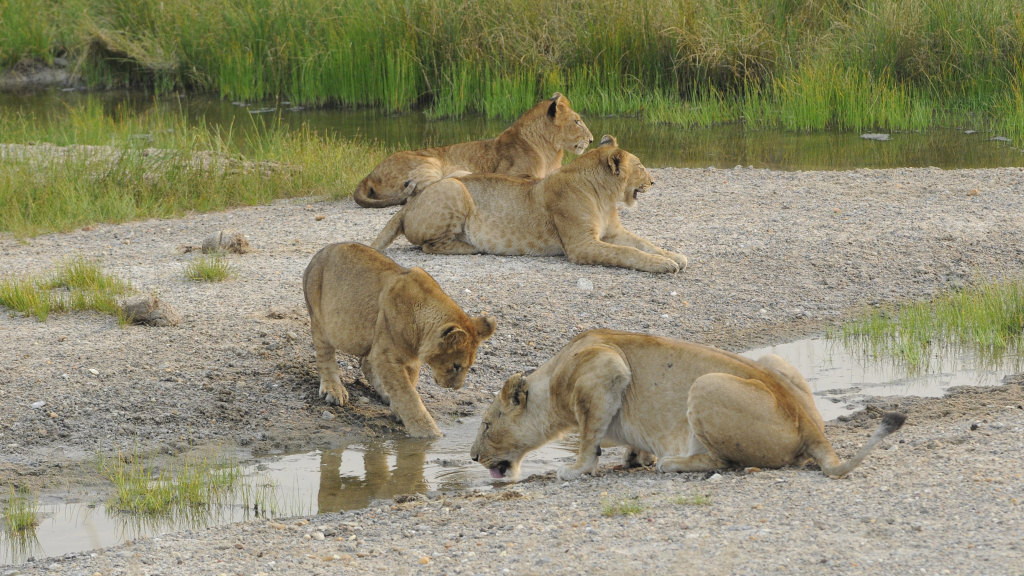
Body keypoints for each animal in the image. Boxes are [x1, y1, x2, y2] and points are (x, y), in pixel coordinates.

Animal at [302, 242, 496, 438]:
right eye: (456, 366)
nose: (456, 387)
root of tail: (317, 255)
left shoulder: (410, 359)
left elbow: (409, 386)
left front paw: (398, 410)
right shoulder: (386, 356)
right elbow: (408, 395)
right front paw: (429, 434)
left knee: (366, 363)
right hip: (320, 320)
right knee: (326, 355)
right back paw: (334, 390)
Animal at [353, 92, 594, 207]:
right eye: (577, 121)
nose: (591, 140)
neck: (551, 151)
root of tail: (370, 174)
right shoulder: (509, 172)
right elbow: (534, 178)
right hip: (430, 161)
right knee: (419, 191)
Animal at [371, 135, 688, 274]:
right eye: (641, 166)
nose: (654, 181)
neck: (605, 197)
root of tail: (408, 205)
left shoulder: (612, 232)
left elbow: (643, 242)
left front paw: (674, 255)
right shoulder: (582, 245)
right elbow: (627, 252)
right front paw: (663, 264)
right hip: (454, 186)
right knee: (429, 245)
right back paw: (470, 247)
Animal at [470, 329, 906, 480]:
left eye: (487, 425)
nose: (472, 457)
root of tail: (811, 427)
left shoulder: (605, 367)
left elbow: (589, 435)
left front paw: (575, 469)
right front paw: (634, 458)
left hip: (705, 384)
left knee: (724, 462)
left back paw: (672, 462)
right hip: (774, 363)